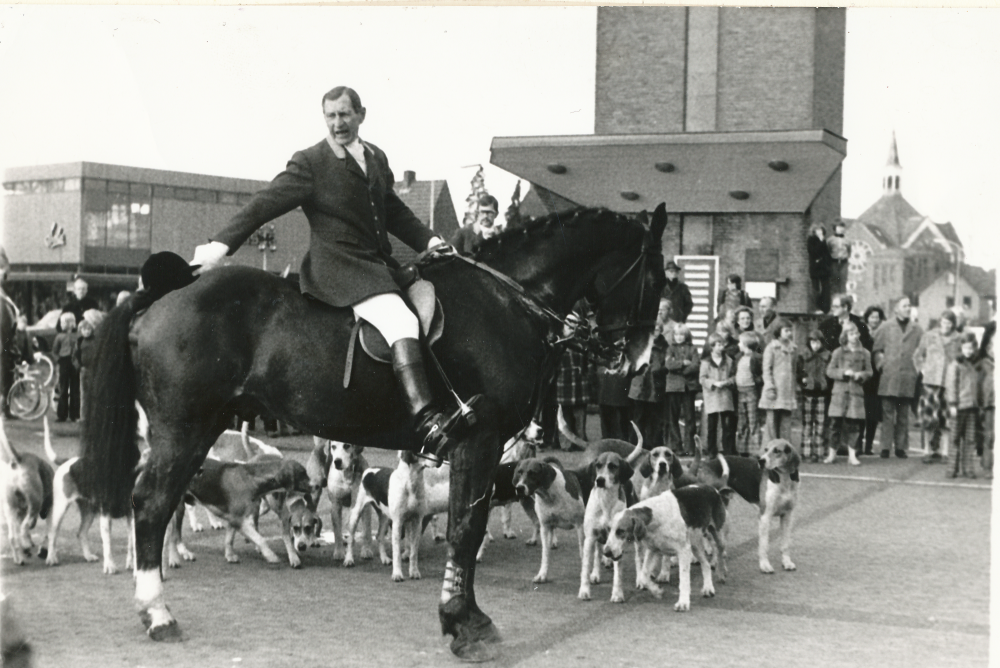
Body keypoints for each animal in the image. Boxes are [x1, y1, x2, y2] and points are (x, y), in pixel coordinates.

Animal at [82, 204, 668, 664]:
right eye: (659, 279)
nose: (637, 363)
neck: (503, 301)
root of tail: (162, 292)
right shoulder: (478, 440)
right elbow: (465, 530)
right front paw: (463, 623)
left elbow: (461, 526)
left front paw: (461, 616)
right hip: (183, 430)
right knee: (152, 505)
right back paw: (158, 612)